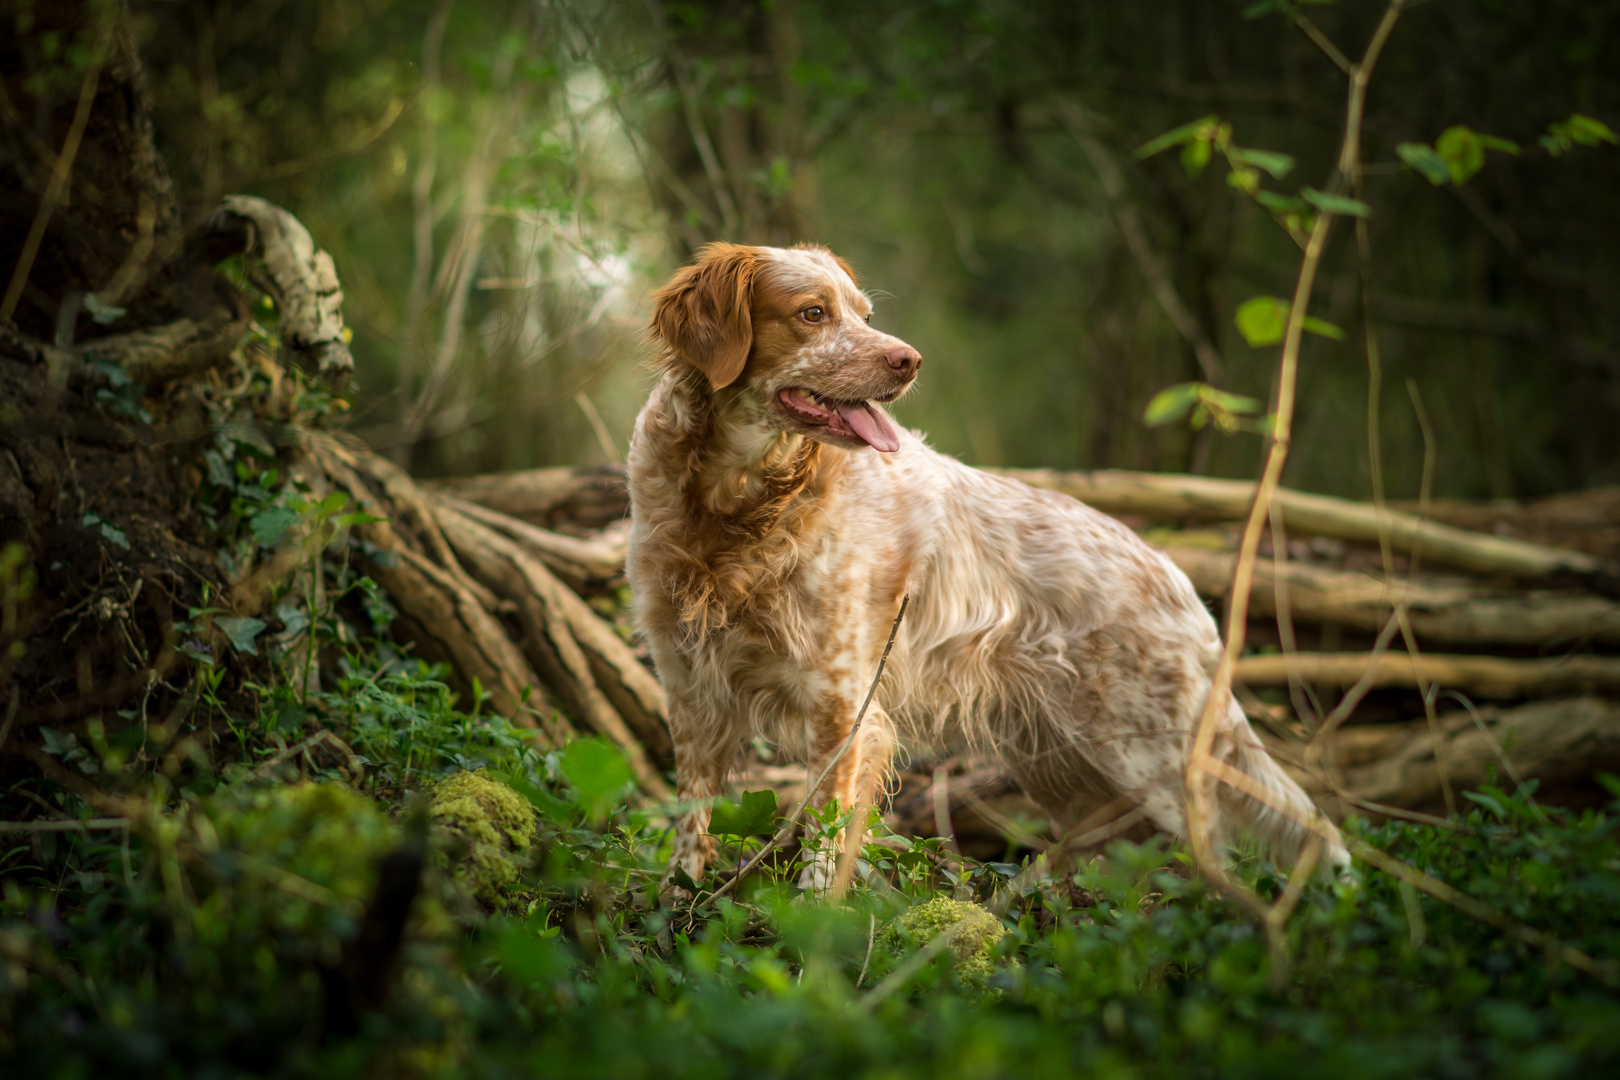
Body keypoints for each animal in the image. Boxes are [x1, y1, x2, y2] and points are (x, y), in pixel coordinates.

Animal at [625, 242, 1347, 887]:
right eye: (813, 313)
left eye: (863, 313)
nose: (908, 360)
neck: (737, 509)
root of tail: (1181, 583)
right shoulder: (688, 690)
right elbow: (689, 826)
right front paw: (675, 910)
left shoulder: (842, 704)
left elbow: (823, 846)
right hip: (1070, 773)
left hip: (1149, 758)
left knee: (1214, 866)